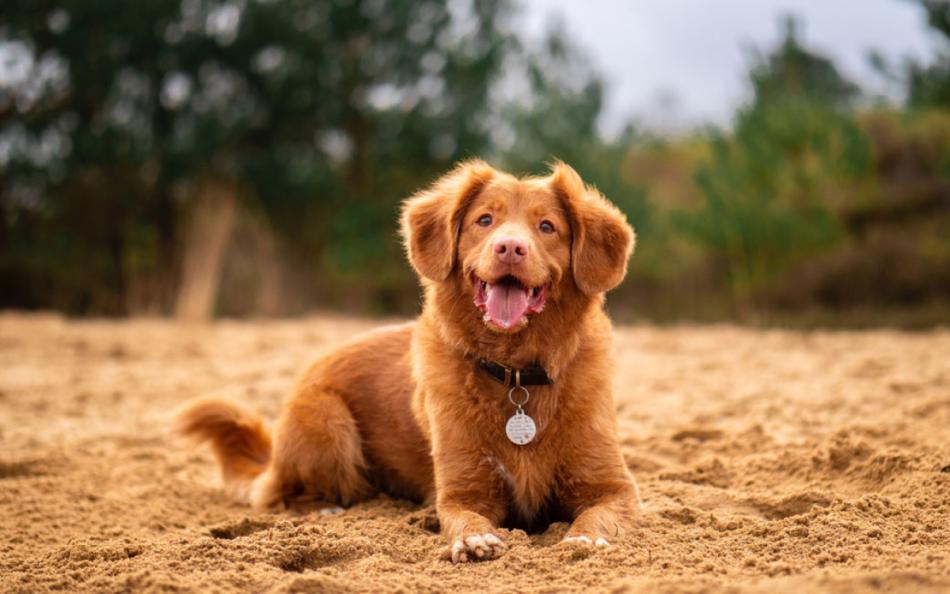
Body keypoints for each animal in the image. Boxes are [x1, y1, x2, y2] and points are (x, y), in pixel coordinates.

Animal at [175, 160, 644, 560]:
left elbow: (597, 516)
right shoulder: (462, 492)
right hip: (328, 422)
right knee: (281, 495)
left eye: (547, 226)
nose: (510, 247)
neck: (517, 375)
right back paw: (330, 509)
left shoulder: (614, 487)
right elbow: (464, 518)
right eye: (484, 221)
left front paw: (583, 539)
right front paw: (474, 540)